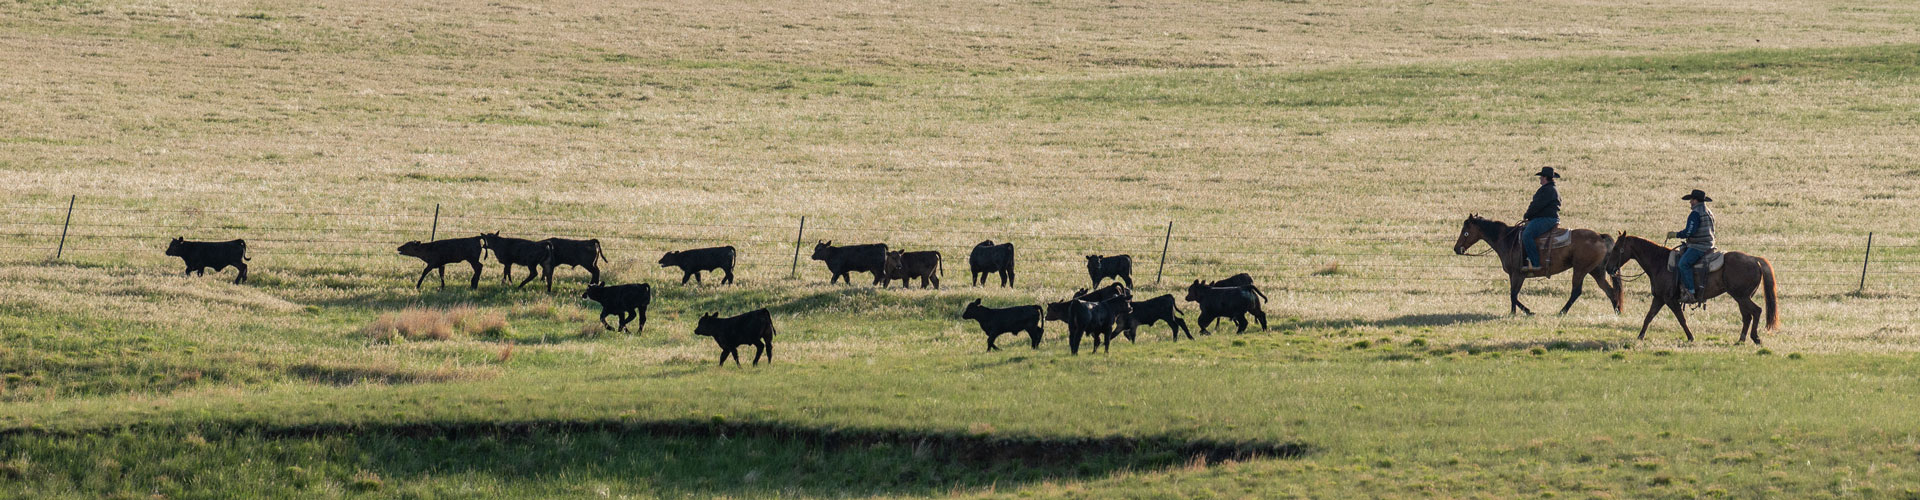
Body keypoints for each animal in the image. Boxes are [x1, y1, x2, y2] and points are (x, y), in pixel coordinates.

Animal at [1451, 214, 1620, 317]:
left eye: (1465, 231)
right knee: (1610, 290)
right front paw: (1514, 312)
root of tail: (1600, 236)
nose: (1457, 248)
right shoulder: (1514, 275)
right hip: (1596, 271)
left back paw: (1561, 312)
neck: (1508, 239)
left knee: (1576, 291)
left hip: (1580, 269)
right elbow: (1513, 294)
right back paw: (1617, 311)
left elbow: (1513, 294)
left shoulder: (1518, 274)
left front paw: (1526, 312)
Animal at [1597, 234, 1774, 344]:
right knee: (1747, 316)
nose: (1609, 268)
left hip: (1742, 296)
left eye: (1616, 248)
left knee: (1756, 311)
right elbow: (1649, 317)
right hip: (1741, 297)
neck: (1659, 263)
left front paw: (1690, 337)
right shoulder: (1659, 298)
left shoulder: (1670, 299)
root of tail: (1755, 260)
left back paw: (1755, 338)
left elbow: (1681, 319)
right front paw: (1640, 336)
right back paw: (1741, 339)